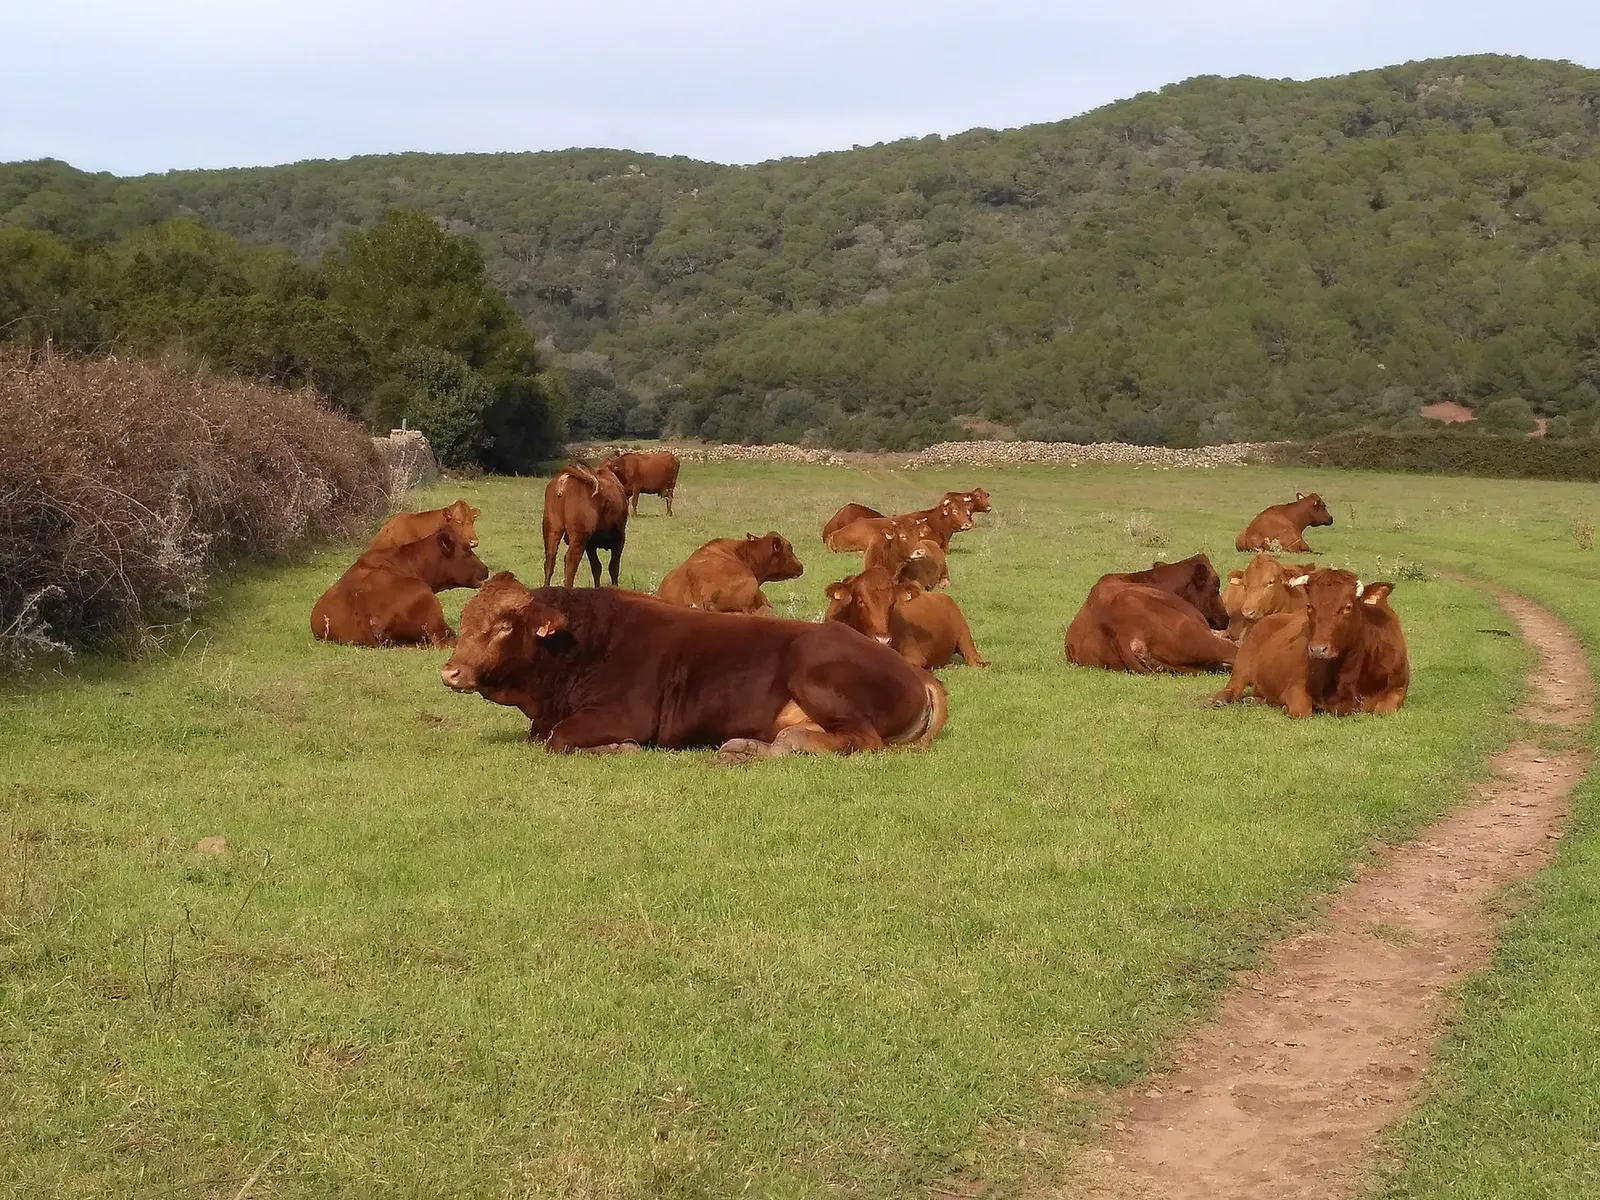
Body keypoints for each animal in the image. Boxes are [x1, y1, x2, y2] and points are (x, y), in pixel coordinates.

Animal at [438, 573, 948, 762]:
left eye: (505, 625)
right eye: (464, 620)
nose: (451, 672)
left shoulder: (625, 714)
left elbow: (559, 739)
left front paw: (618, 748)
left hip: (815, 671)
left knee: (860, 740)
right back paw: (745, 747)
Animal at [1212, 569, 1408, 717]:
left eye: (1347, 607)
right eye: (1309, 606)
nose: (1317, 649)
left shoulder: (1398, 689)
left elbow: (1384, 710)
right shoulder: (1296, 686)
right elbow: (1302, 711)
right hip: (1244, 660)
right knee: (1234, 687)